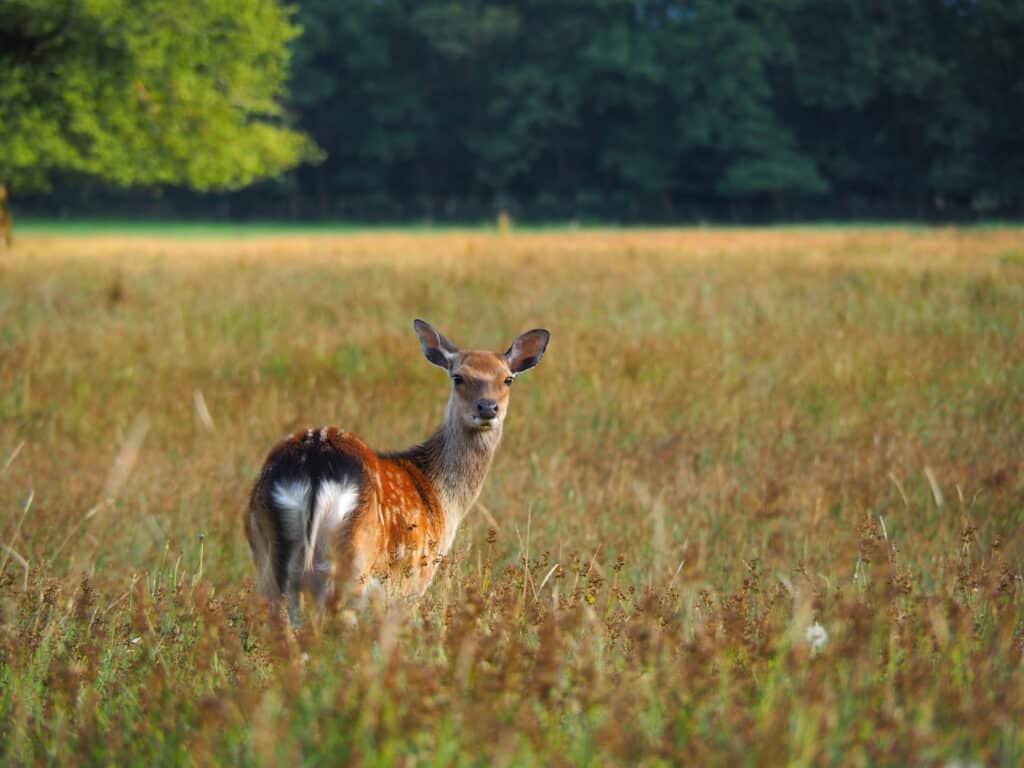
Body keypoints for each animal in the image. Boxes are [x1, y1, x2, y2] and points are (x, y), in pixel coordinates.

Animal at [245, 319, 550, 622]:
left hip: (266, 554)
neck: (442, 499)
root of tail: (315, 463)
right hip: (356, 559)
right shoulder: (413, 580)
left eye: (507, 378)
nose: (487, 407)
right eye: (458, 377)